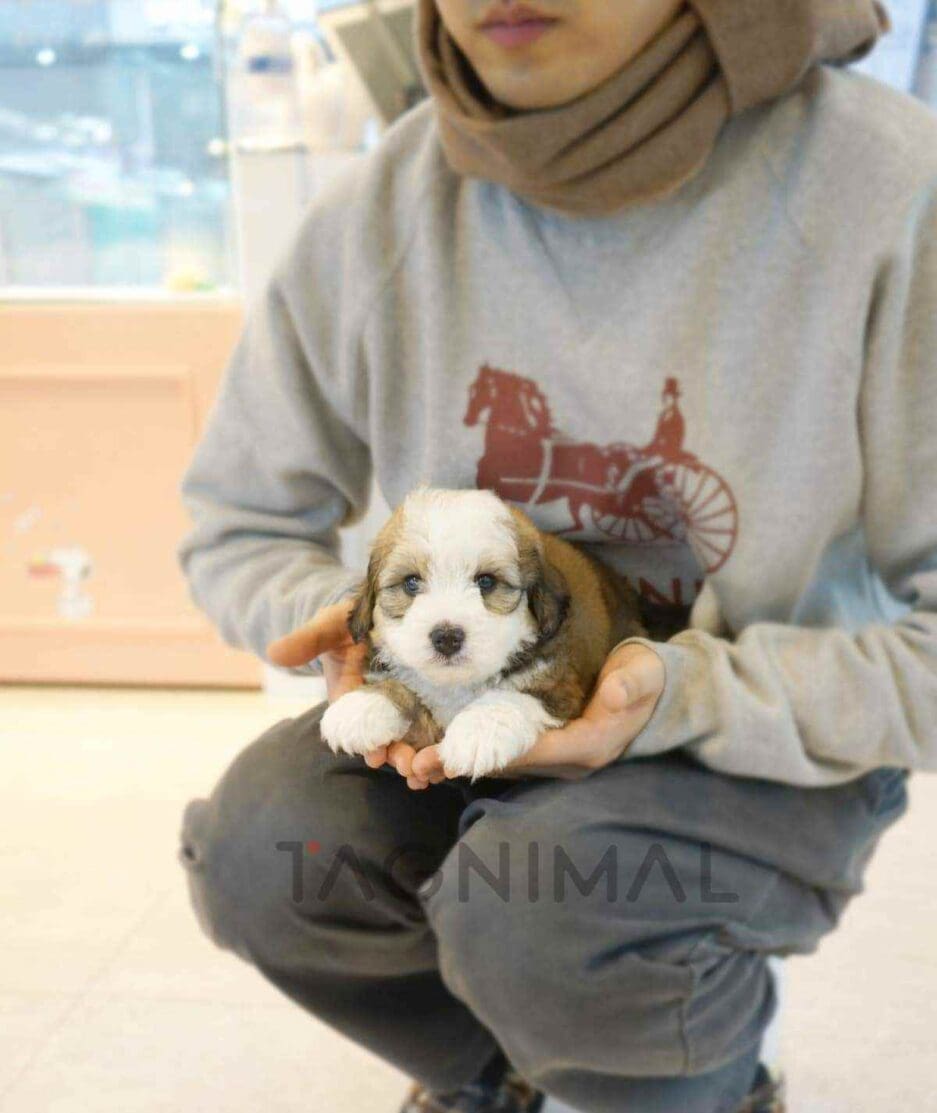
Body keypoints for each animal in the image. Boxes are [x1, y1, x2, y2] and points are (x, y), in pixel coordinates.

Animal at [320, 487, 648, 779]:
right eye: (411, 583)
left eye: (486, 582)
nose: (447, 637)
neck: (457, 684)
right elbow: (397, 684)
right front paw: (363, 707)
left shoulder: (559, 685)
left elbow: (513, 695)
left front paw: (478, 731)